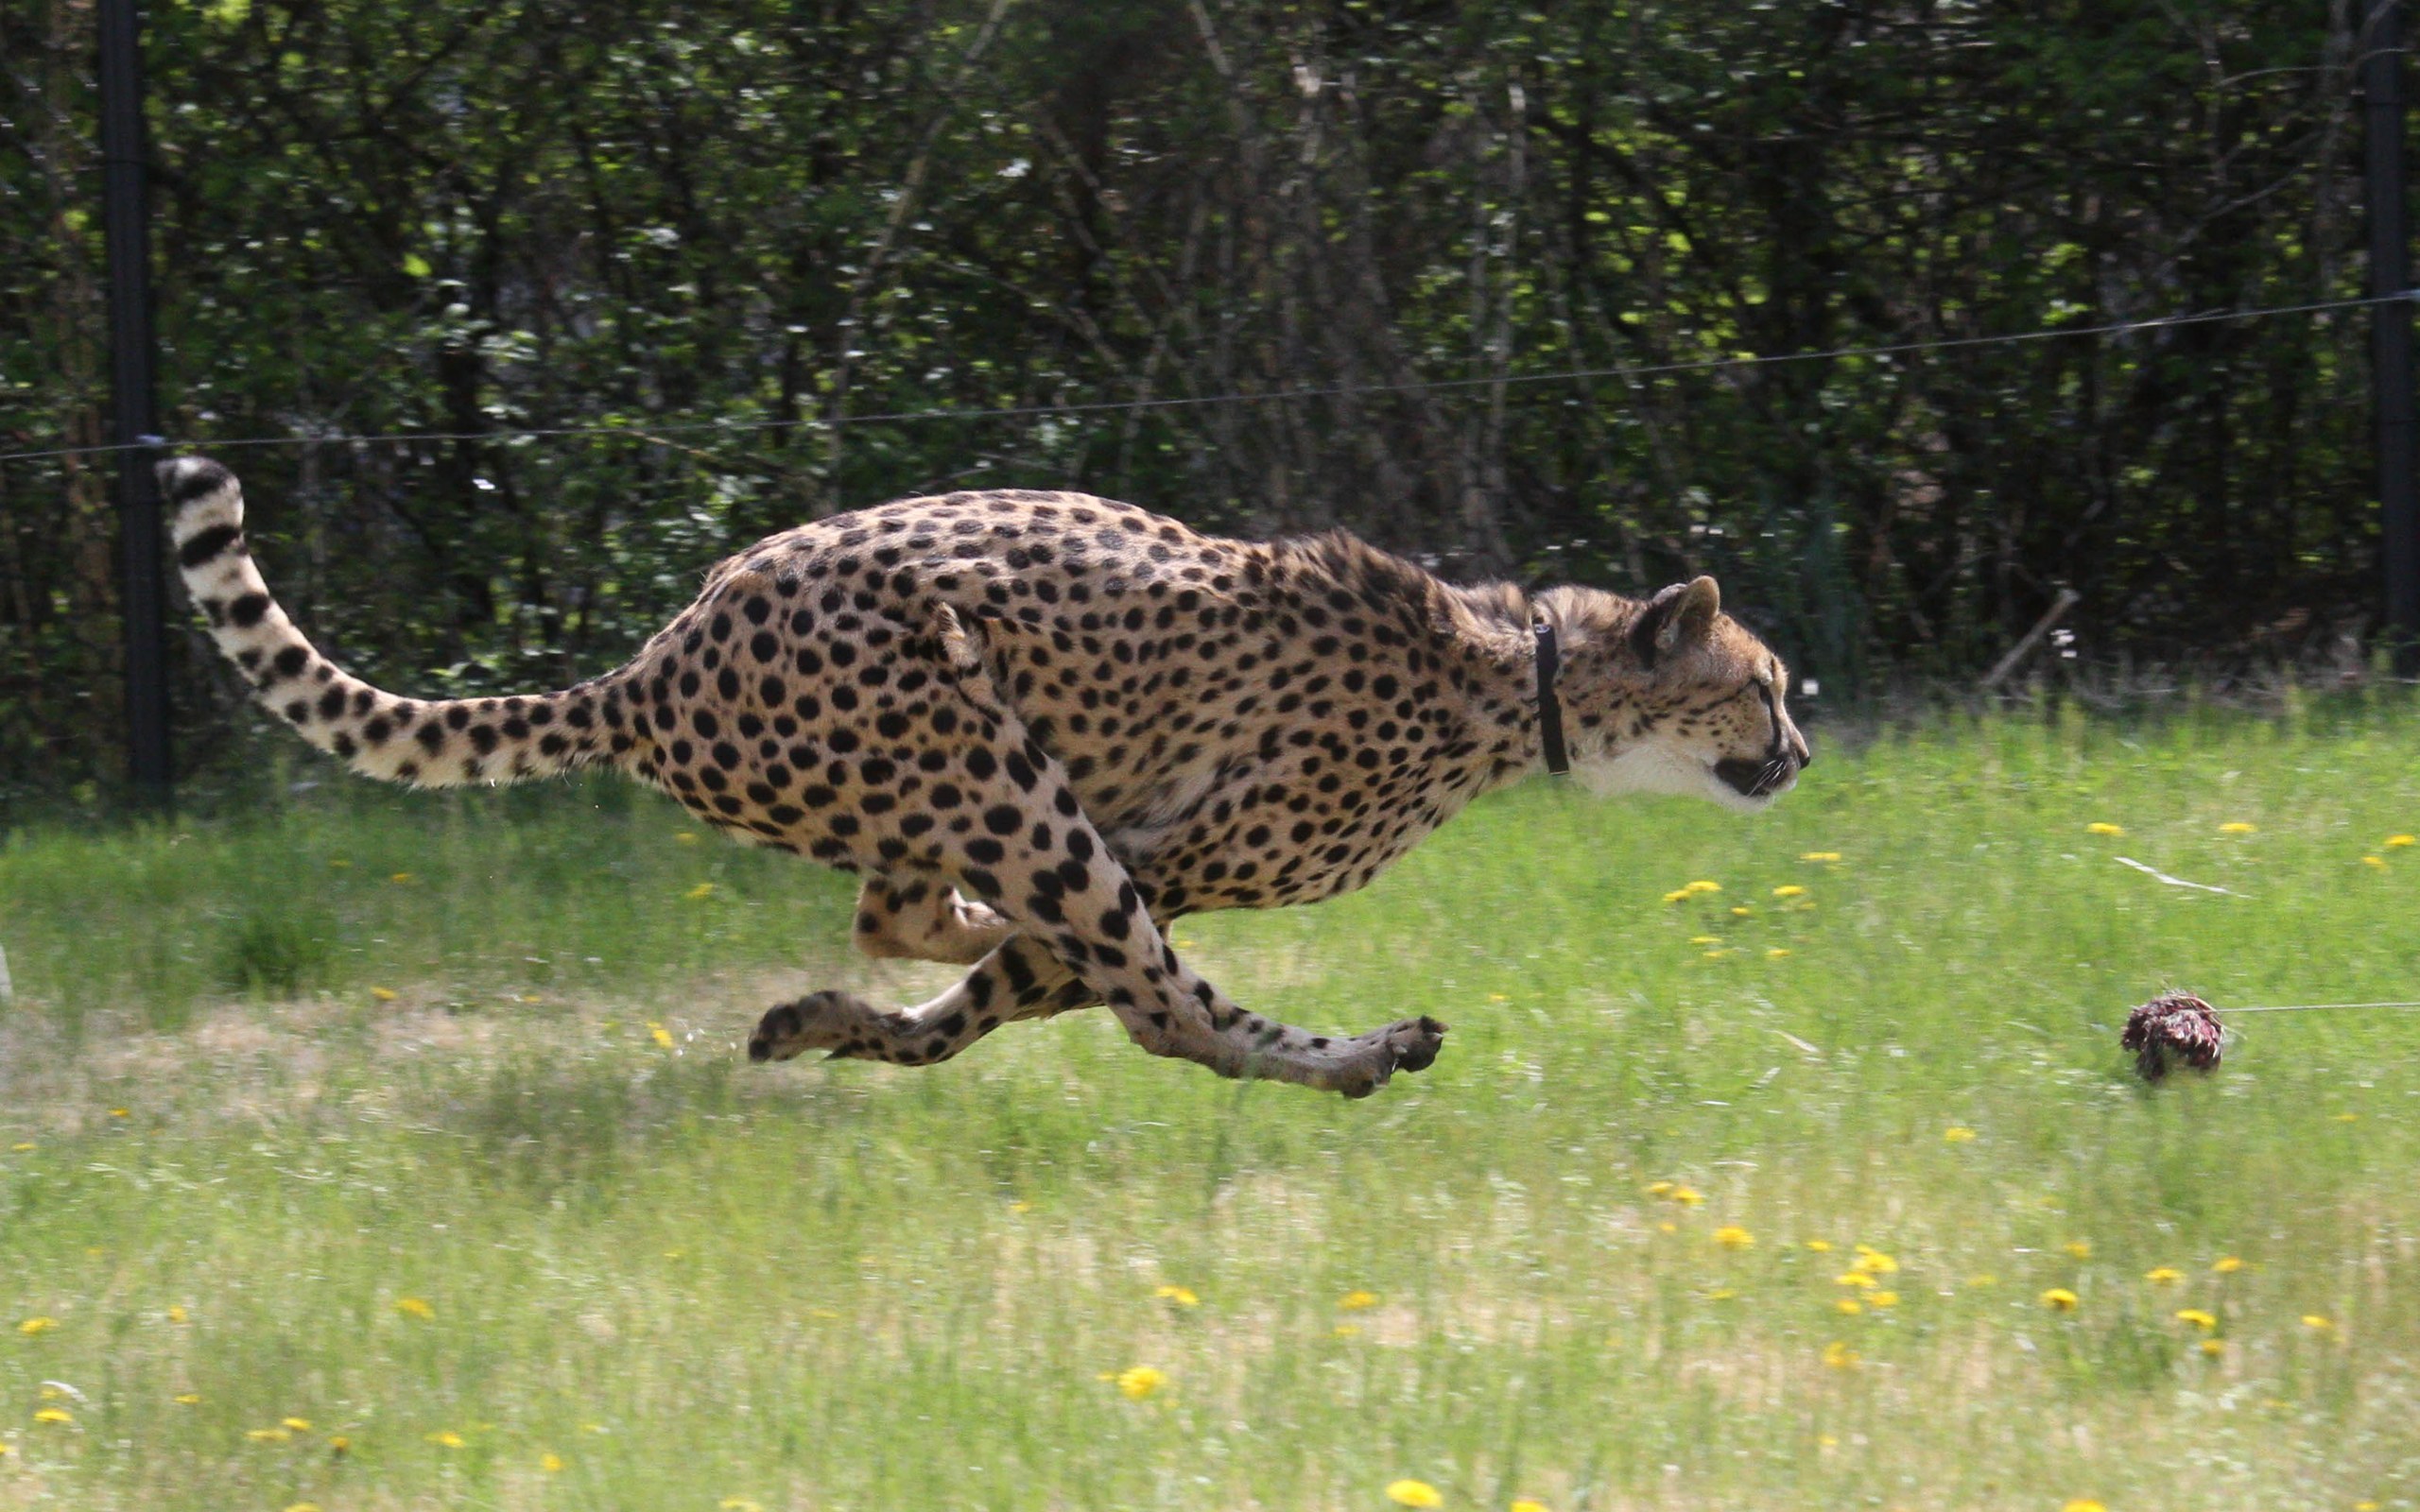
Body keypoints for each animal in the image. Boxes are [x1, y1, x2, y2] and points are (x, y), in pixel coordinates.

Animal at [163, 455, 1810, 1098]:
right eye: (1765, 686)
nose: (1802, 750)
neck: (1518, 672)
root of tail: (651, 663)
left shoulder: (1132, 863)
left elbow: (989, 994)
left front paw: (839, 1020)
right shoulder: (1173, 857)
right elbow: (1087, 989)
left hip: (971, 791)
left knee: (906, 917)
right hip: (993, 760)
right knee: (1162, 1012)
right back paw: (1358, 1056)